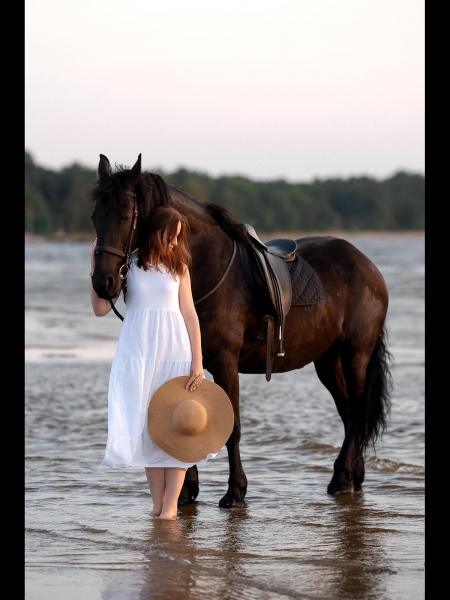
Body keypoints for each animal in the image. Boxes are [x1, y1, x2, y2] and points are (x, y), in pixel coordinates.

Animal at [89, 155, 392, 506]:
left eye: (126, 216)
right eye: (95, 217)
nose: (104, 283)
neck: (208, 269)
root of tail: (366, 264)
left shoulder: (225, 361)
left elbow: (231, 427)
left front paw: (235, 491)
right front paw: (187, 490)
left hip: (356, 353)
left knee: (356, 411)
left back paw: (341, 478)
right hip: (328, 360)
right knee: (348, 412)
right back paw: (354, 476)